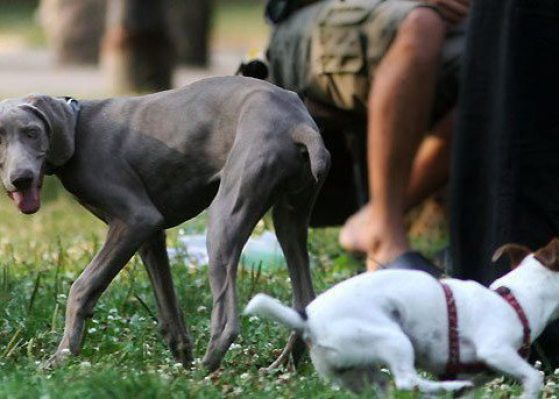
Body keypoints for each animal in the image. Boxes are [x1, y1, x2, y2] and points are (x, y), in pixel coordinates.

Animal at [0, 76, 330, 370]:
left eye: (32, 132)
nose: (21, 179)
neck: (77, 129)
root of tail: (299, 124)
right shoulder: (150, 236)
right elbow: (168, 306)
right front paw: (181, 358)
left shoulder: (136, 219)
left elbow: (82, 286)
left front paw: (63, 355)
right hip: (290, 215)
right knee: (303, 301)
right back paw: (281, 366)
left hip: (226, 214)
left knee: (228, 319)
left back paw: (205, 370)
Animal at [246, 239, 559, 398]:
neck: (516, 298)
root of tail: (306, 320)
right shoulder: (495, 349)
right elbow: (534, 376)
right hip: (394, 339)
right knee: (407, 382)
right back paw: (445, 386)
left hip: (361, 376)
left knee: (391, 386)